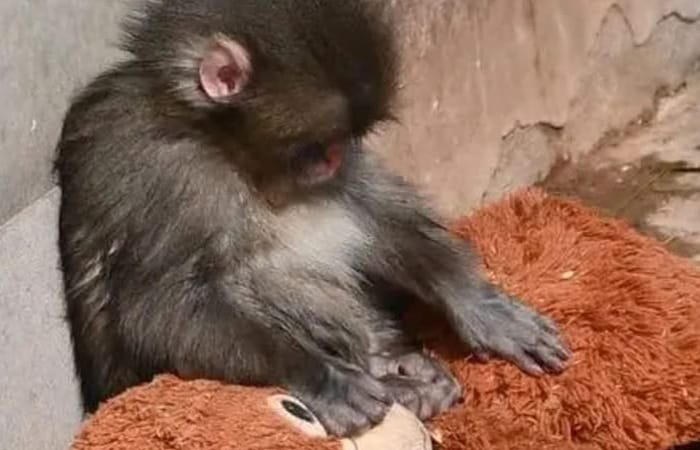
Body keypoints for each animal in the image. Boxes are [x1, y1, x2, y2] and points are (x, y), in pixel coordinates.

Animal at [54, 0, 570, 437]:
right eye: (315, 146)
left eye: (345, 140)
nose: (337, 158)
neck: (223, 146)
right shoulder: (160, 170)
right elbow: (156, 308)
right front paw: (321, 377)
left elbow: (368, 207)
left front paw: (476, 301)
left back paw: (397, 363)